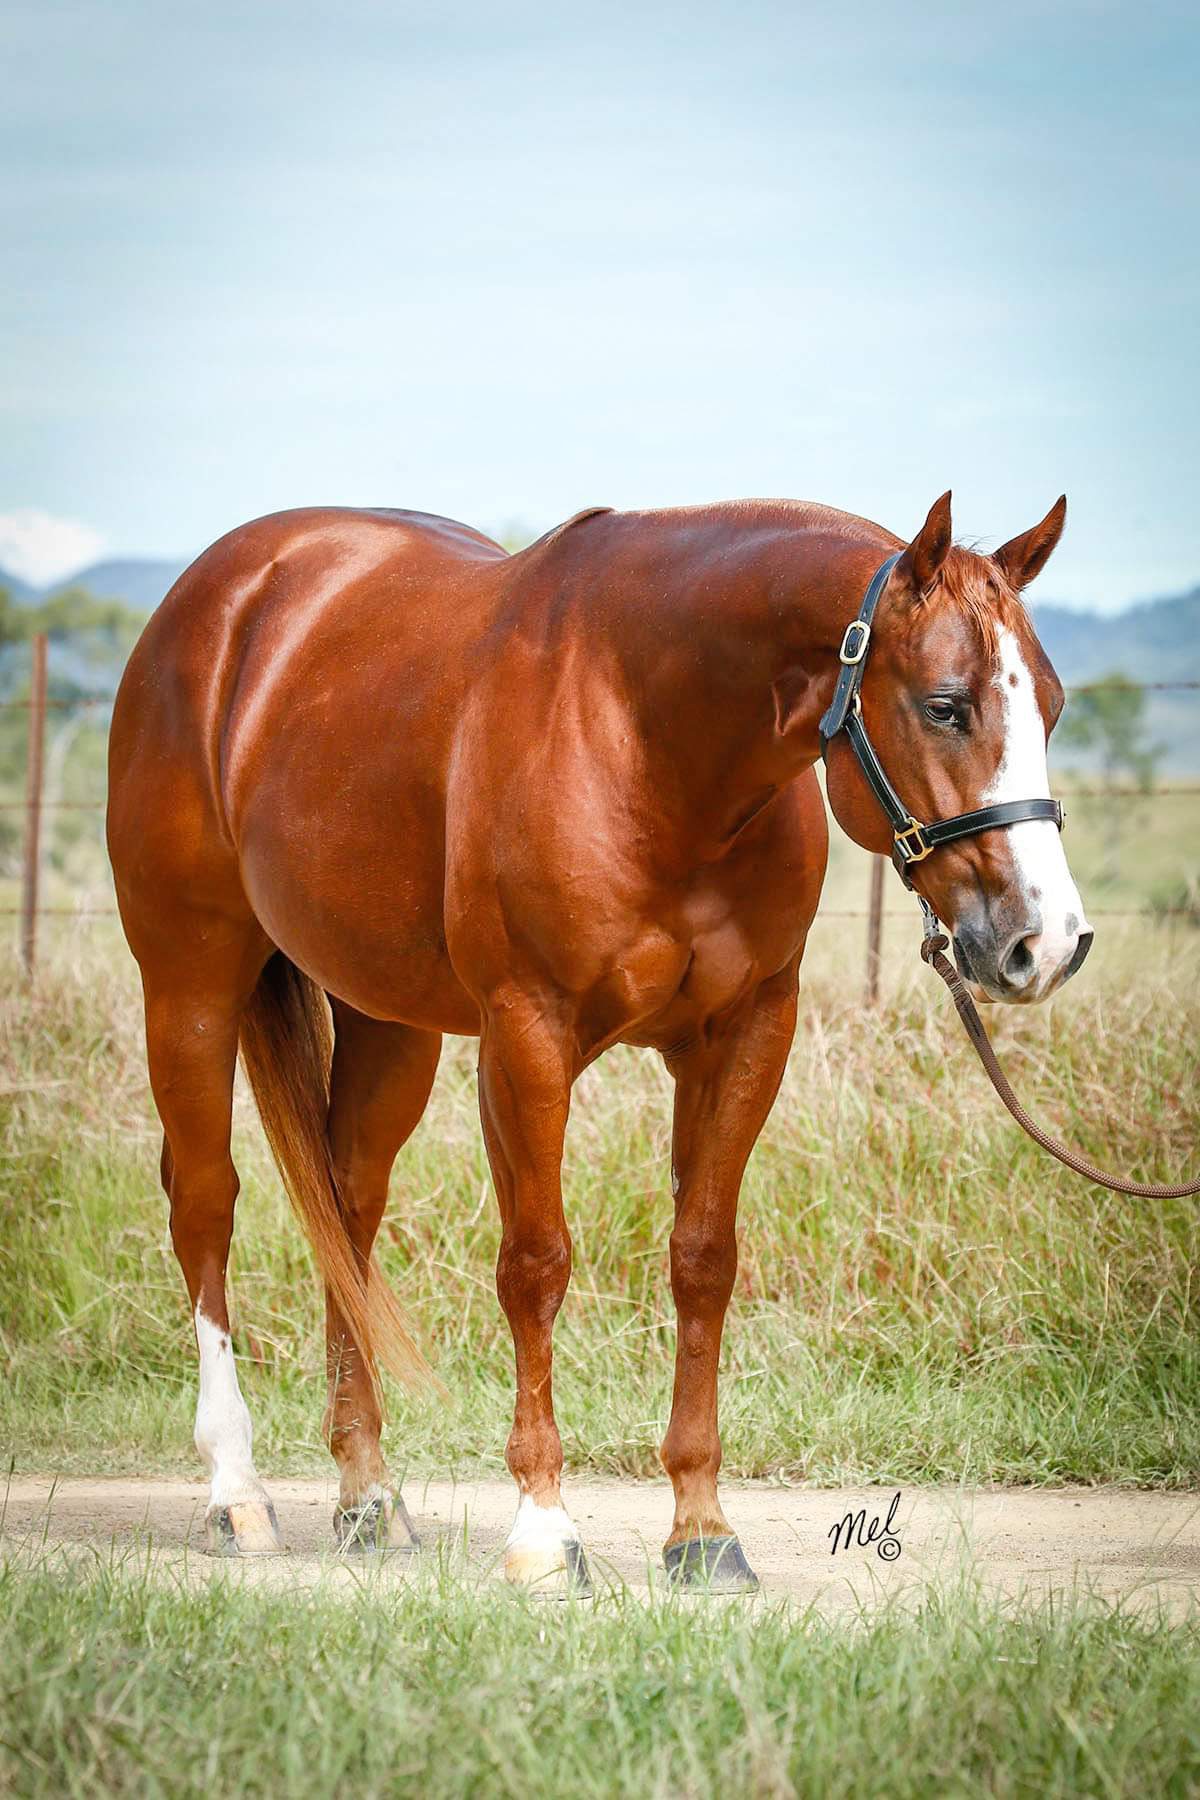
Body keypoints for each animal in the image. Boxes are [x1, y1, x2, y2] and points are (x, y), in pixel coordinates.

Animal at [106, 490, 1091, 1590]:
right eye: (945, 705)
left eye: (1051, 707)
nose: (1046, 942)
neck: (645, 734)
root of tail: (225, 595)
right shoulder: (525, 1037)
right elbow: (536, 1264)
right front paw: (544, 1530)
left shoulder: (747, 1033)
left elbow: (703, 1259)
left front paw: (702, 1530)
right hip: (190, 983)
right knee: (206, 1205)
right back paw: (235, 1493)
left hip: (387, 1023)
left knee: (345, 1214)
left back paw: (369, 1498)